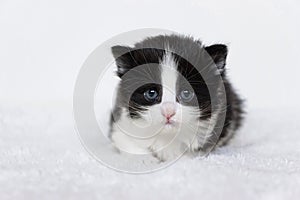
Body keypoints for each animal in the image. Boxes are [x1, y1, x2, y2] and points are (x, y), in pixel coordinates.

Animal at [109, 34, 243, 162]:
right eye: (151, 93)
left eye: (186, 93)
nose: (168, 111)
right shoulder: (118, 121)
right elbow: (127, 143)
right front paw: (145, 161)